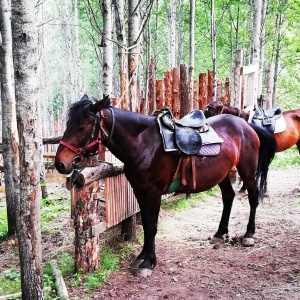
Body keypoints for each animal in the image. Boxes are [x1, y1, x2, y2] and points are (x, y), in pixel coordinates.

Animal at [55, 95, 276, 278]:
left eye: (83, 126)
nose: (60, 164)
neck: (144, 144)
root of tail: (246, 125)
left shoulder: (153, 193)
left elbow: (152, 226)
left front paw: (149, 263)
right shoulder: (140, 192)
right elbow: (146, 223)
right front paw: (142, 256)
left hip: (247, 170)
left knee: (253, 197)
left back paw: (248, 235)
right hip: (222, 175)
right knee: (228, 197)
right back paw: (220, 234)